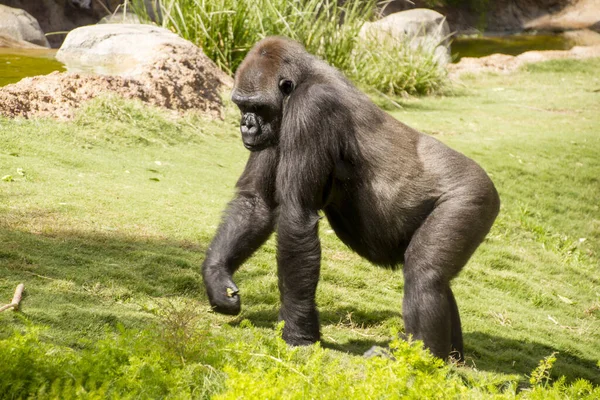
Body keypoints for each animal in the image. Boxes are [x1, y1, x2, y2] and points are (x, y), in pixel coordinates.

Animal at [203, 37, 502, 360]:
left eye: (257, 106)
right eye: (241, 105)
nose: (246, 125)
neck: (301, 81)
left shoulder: (312, 108)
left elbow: (296, 216)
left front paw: (298, 334)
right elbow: (256, 203)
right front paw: (217, 278)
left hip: (473, 197)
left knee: (426, 274)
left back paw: (419, 359)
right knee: (440, 281)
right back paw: (449, 362)